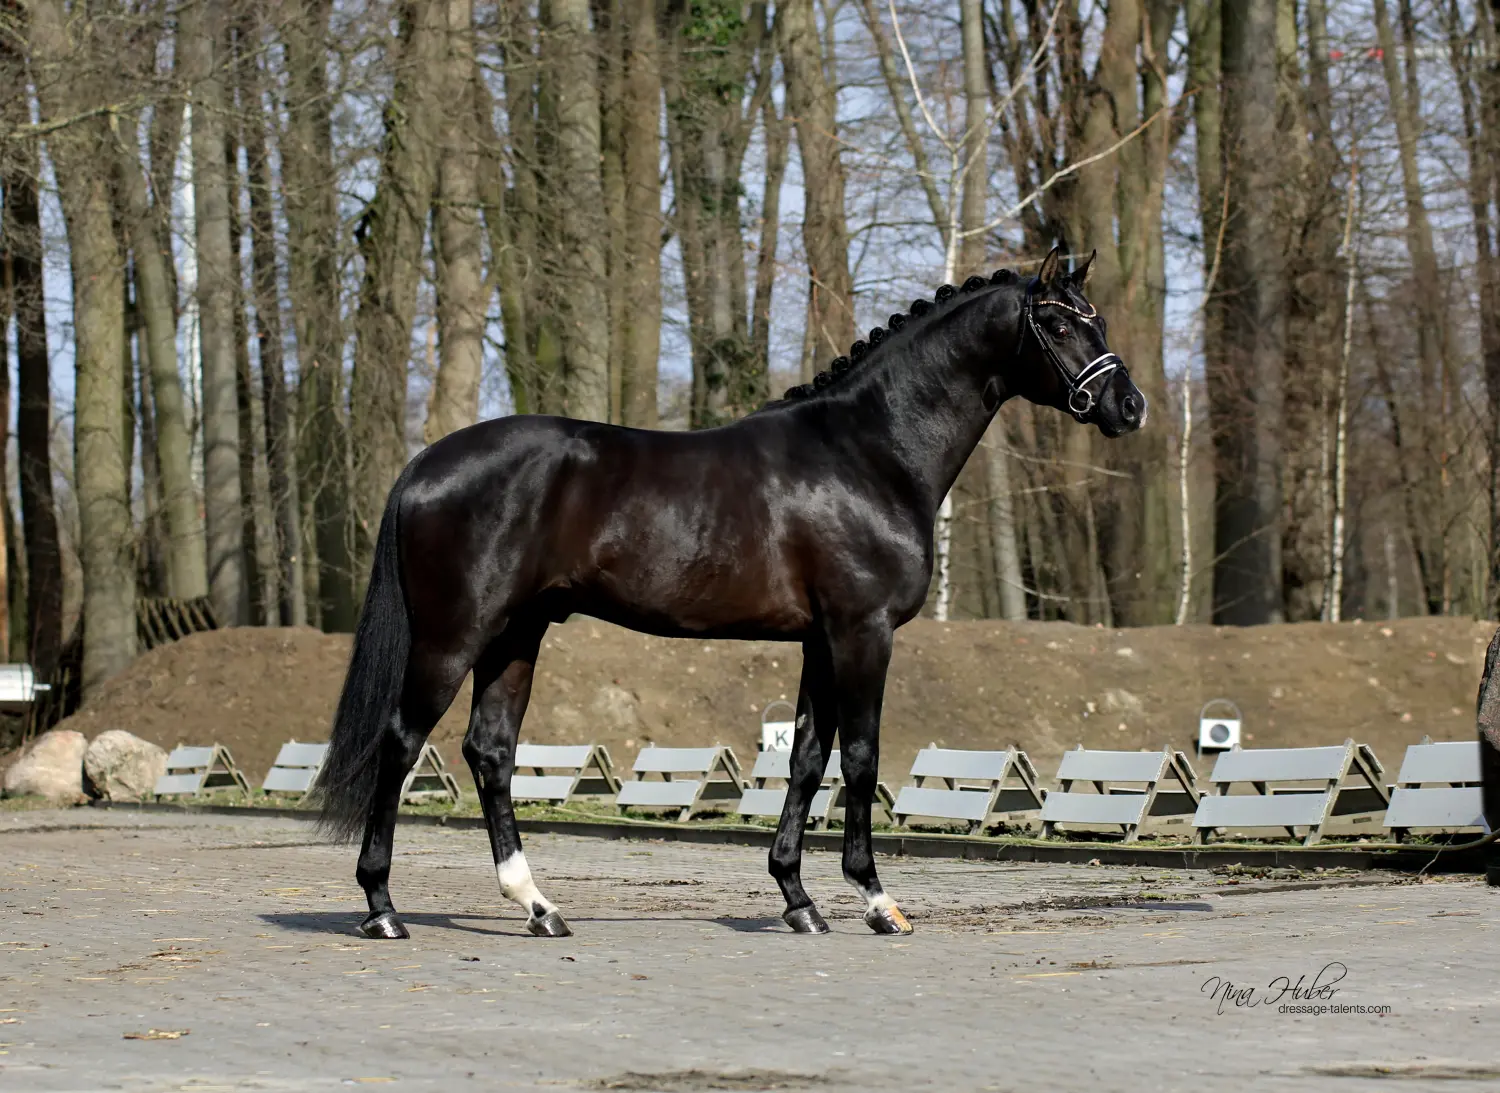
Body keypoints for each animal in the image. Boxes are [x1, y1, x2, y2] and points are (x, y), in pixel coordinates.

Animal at [315, 245, 1147, 940]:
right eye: (1056, 321)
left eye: (1098, 318)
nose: (1129, 406)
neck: (868, 452)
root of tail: (426, 463)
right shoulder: (863, 630)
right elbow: (862, 757)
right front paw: (877, 901)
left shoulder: (820, 638)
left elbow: (809, 756)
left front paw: (799, 899)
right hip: (453, 636)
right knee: (401, 742)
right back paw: (383, 907)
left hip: (516, 635)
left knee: (490, 750)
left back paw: (539, 906)